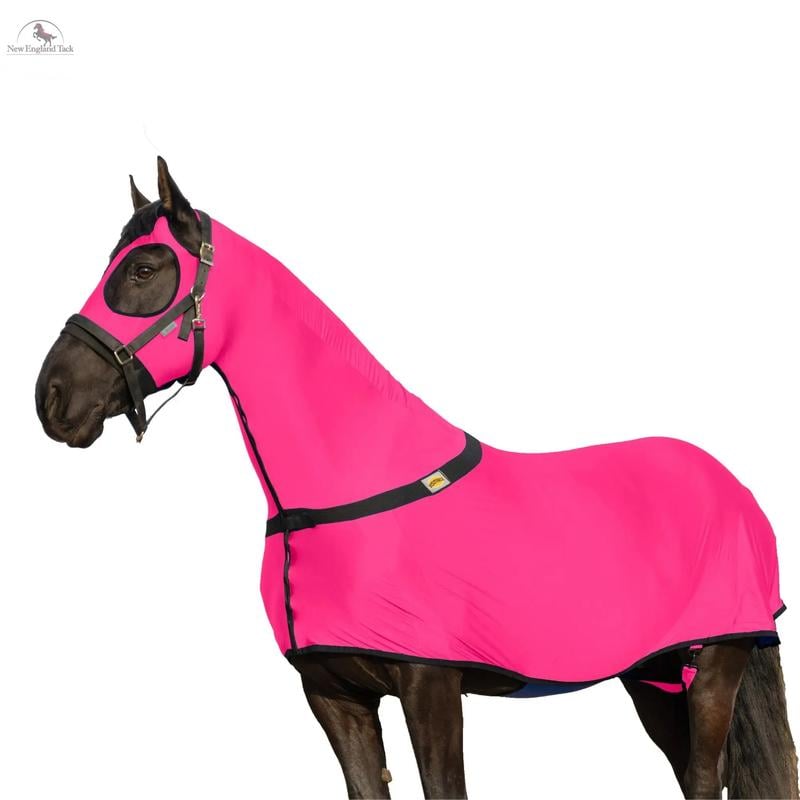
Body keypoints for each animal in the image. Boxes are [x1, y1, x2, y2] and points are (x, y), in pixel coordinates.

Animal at [35, 157, 798, 799]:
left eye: (144, 270)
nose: (52, 398)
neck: (349, 483)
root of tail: (733, 486)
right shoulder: (333, 695)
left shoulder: (431, 686)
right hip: (656, 676)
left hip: (717, 663)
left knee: (704, 779)